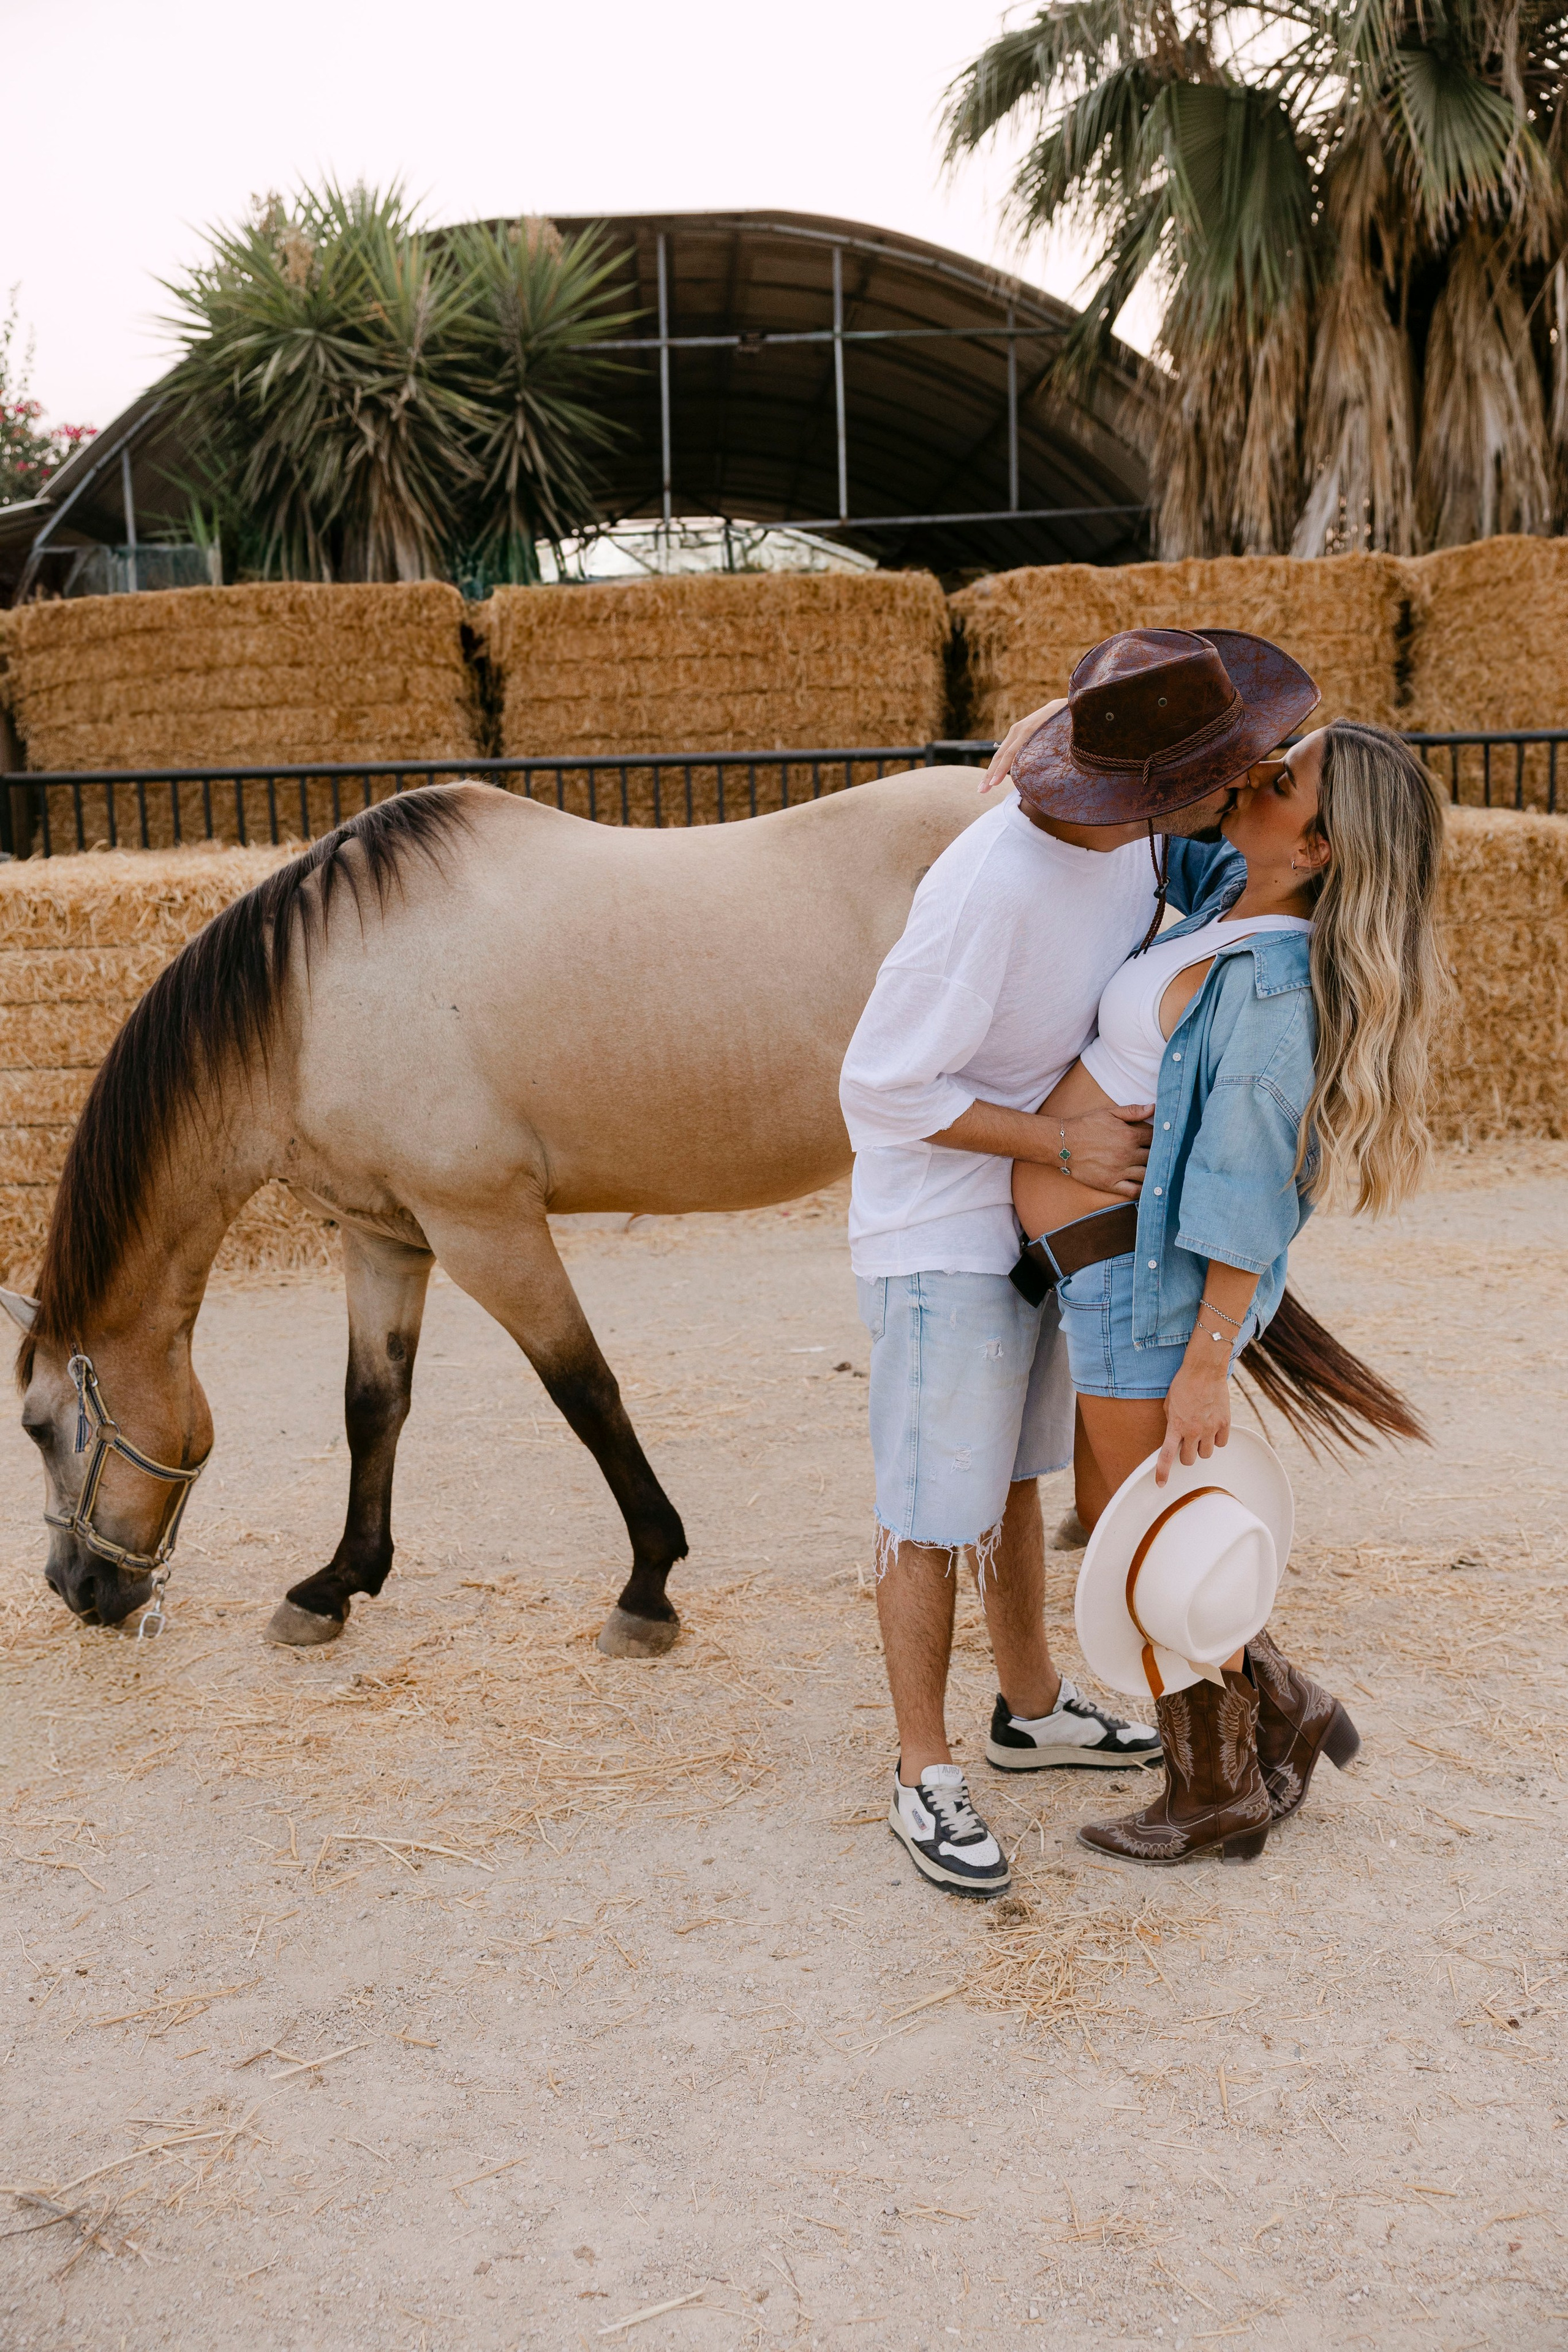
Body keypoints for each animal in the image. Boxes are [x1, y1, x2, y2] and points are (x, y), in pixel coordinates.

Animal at [4, 771, 987, 1656]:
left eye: (39, 1427)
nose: (73, 1586)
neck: (316, 1006)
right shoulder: (385, 1239)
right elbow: (373, 1405)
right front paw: (335, 1585)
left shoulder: (485, 1229)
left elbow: (585, 1392)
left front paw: (647, 1588)